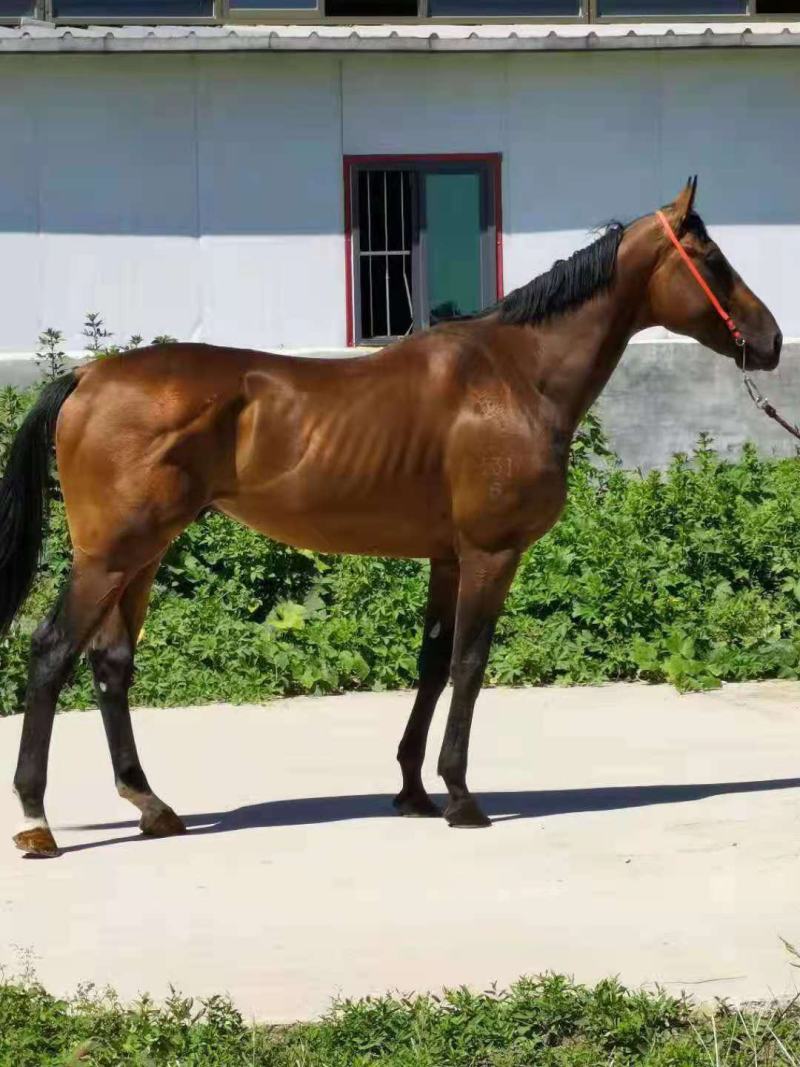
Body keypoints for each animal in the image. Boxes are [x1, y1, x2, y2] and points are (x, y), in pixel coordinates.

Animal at [0, 177, 781, 857]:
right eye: (713, 259)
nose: (770, 340)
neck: (513, 375)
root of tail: (88, 375)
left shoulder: (447, 556)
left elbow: (432, 663)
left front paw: (412, 790)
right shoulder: (492, 553)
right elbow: (469, 663)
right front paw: (461, 795)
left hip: (142, 555)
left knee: (110, 663)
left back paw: (152, 805)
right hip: (109, 556)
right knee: (50, 652)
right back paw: (38, 820)